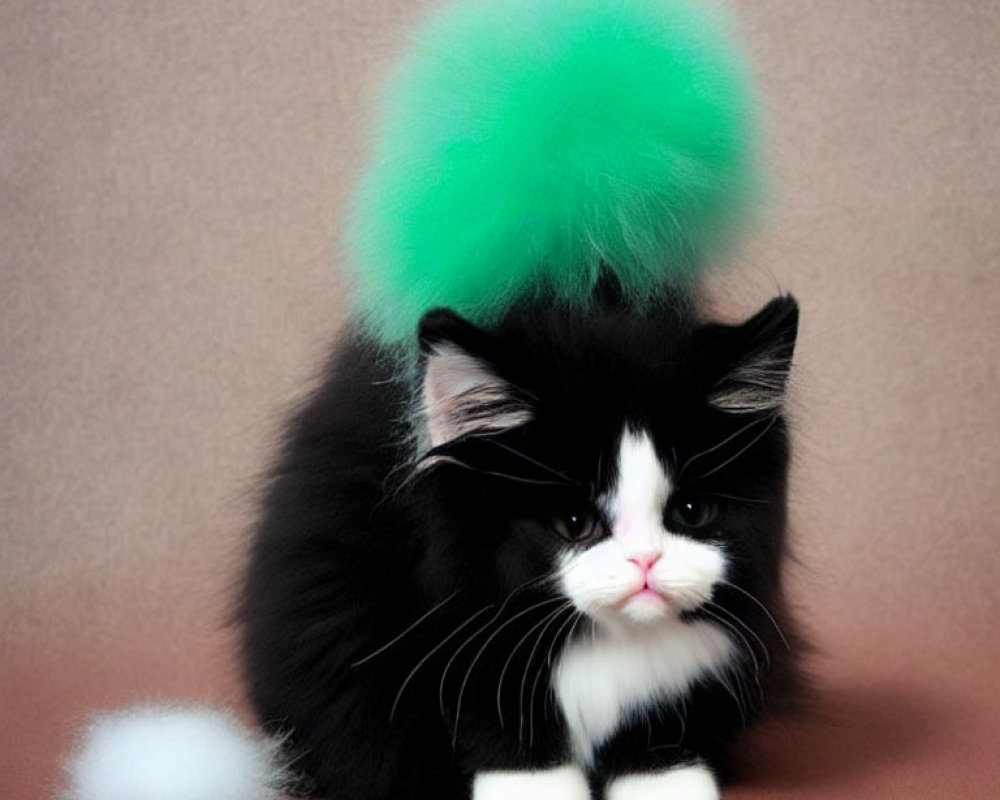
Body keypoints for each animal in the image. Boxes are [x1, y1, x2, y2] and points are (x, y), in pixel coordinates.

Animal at [238, 282, 800, 800]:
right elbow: (503, 724)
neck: (602, 643)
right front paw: (533, 784)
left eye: (690, 513)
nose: (646, 559)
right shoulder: (462, 638)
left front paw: (664, 778)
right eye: (574, 523)